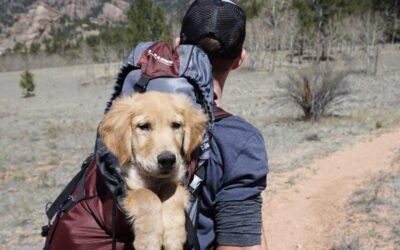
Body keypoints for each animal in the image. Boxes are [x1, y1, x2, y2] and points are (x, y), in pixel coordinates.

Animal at [98, 92, 208, 250]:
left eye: (176, 125)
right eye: (143, 126)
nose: (167, 159)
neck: (154, 179)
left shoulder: (176, 182)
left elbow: (171, 190)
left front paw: (173, 237)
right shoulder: (124, 189)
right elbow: (146, 195)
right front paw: (149, 241)